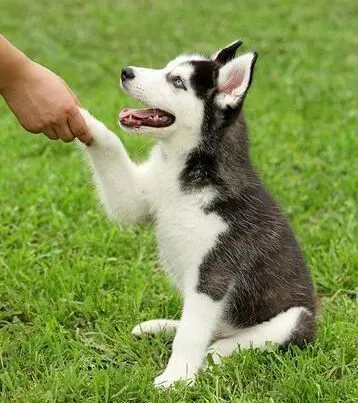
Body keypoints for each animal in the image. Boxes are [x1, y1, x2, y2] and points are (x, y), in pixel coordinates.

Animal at [79, 40, 316, 388]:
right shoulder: (137, 200)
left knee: (230, 338)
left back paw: (219, 351)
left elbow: (191, 335)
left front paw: (176, 378)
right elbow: (113, 155)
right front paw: (79, 117)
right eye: (167, 68)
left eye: (178, 81)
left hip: (297, 317)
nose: (126, 71)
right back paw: (161, 326)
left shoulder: (214, 272)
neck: (184, 168)